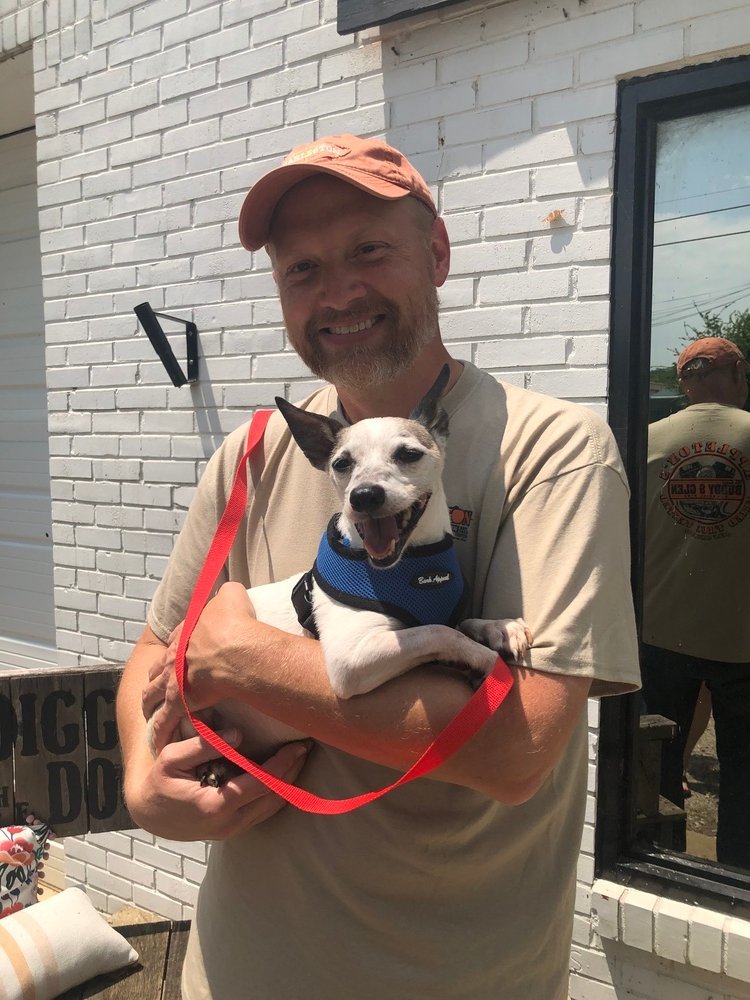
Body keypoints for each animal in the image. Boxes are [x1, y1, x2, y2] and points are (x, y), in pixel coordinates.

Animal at [151, 368, 536, 780]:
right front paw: (482, 657)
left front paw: (496, 627)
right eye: (341, 464)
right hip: (187, 714)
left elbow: (454, 623)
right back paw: (215, 764)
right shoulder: (351, 661)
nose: (364, 496)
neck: (411, 567)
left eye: (408, 454)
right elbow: (439, 630)